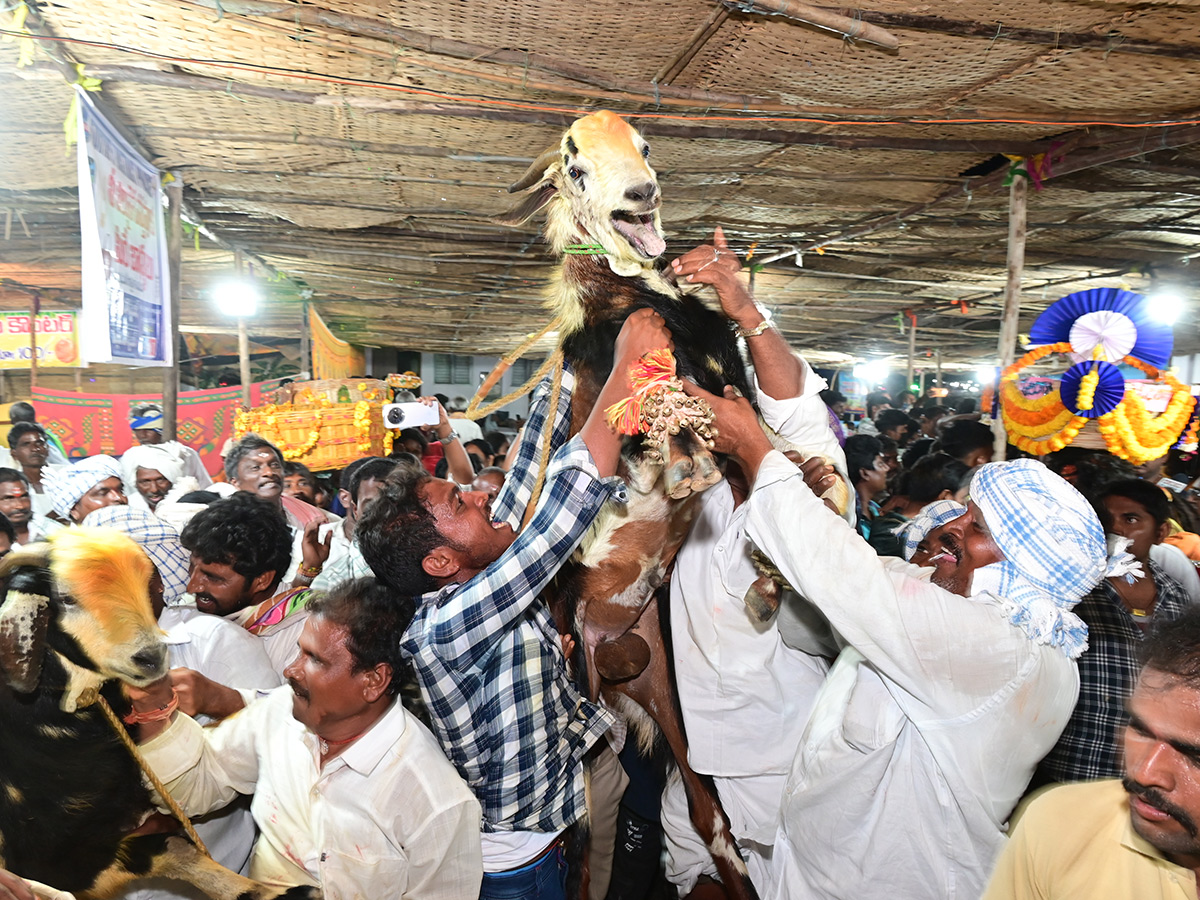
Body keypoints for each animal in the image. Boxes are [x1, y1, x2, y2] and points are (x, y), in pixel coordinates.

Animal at [504, 111, 763, 900]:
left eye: (646, 148)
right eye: (575, 166)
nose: (641, 194)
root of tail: (608, 647)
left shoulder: (727, 373)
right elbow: (662, 418)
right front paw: (682, 468)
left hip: (664, 686)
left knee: (710, 817)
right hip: (581, 712)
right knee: (582, 843)